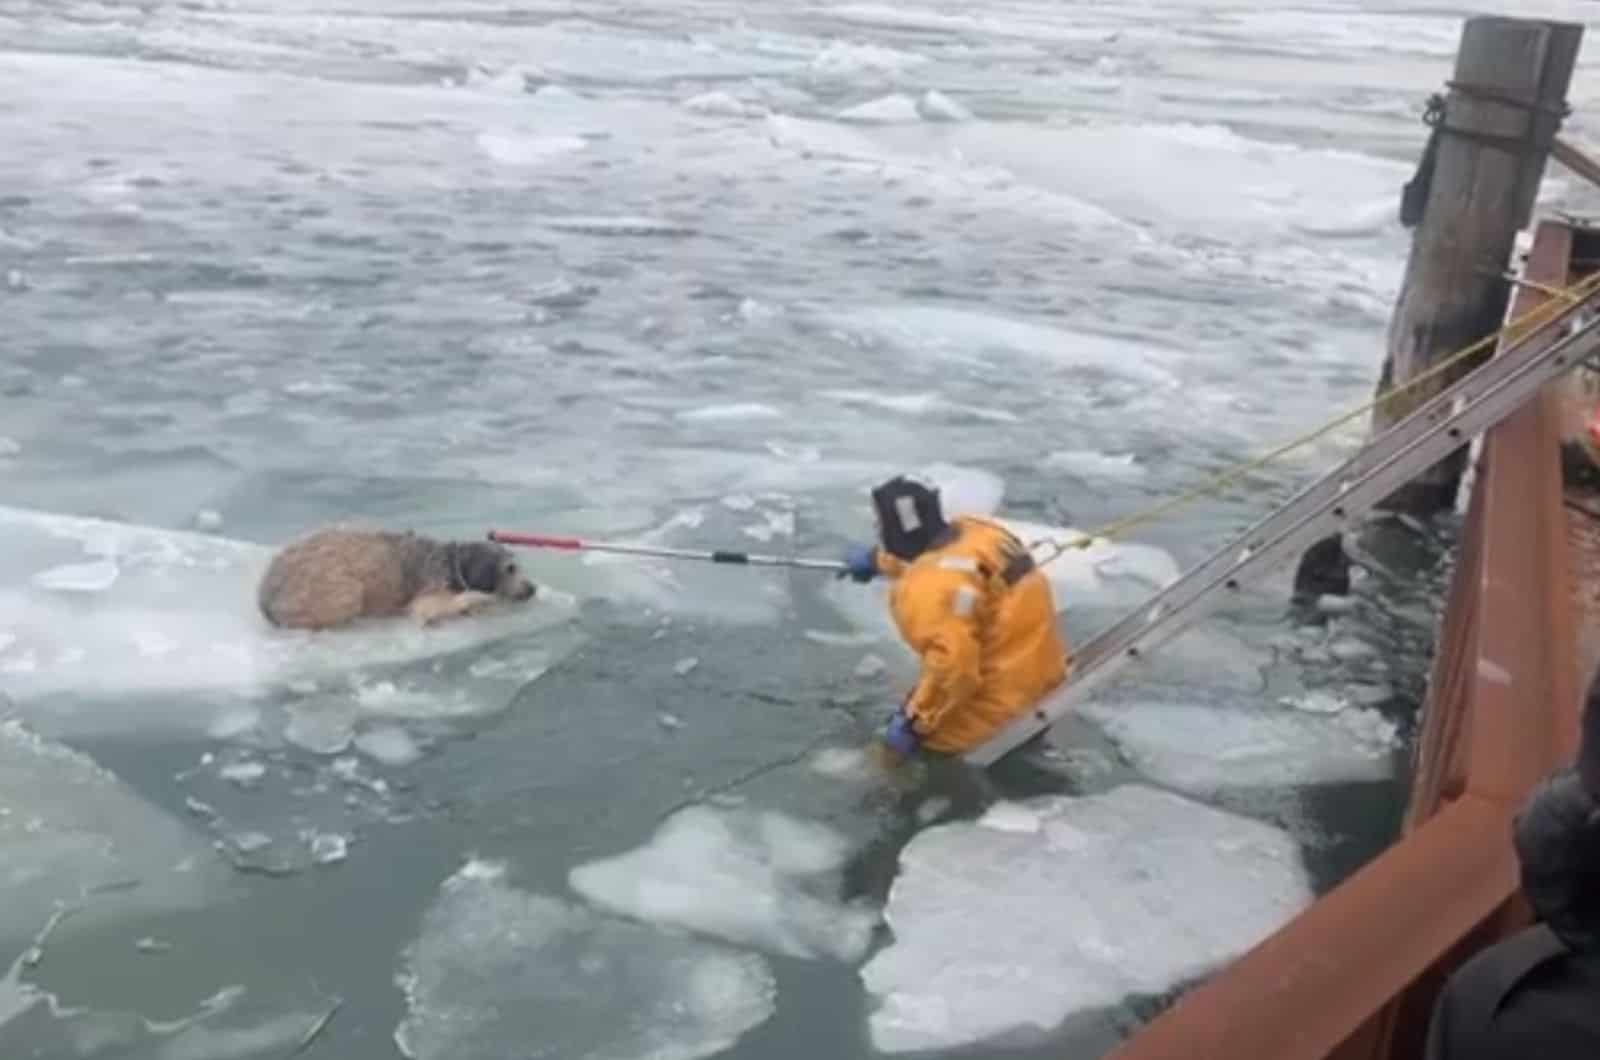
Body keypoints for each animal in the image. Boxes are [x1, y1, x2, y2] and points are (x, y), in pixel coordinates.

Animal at [257, 528, 537, 634]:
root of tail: (264, 598)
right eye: (510, 568)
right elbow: (428, 608)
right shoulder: (431, 587)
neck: (452, 561)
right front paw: (477, 601)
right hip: (334, 590)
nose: (531, 588)